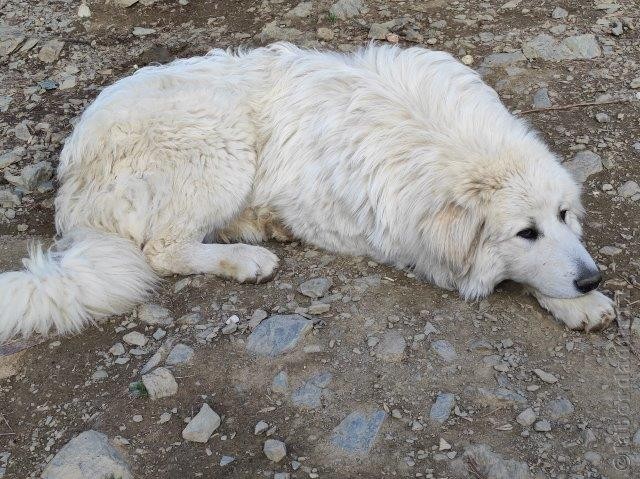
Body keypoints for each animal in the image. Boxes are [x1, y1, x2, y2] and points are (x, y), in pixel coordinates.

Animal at [0, 42, 616, 342]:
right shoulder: (399, 239)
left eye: (565, 215)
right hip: (222, 141)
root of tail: (72, 183)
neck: (442, 142)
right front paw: (573, 300)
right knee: (161, 249)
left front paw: (580, 300)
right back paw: (245, 258)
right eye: (525, 232)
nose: (592, 279)